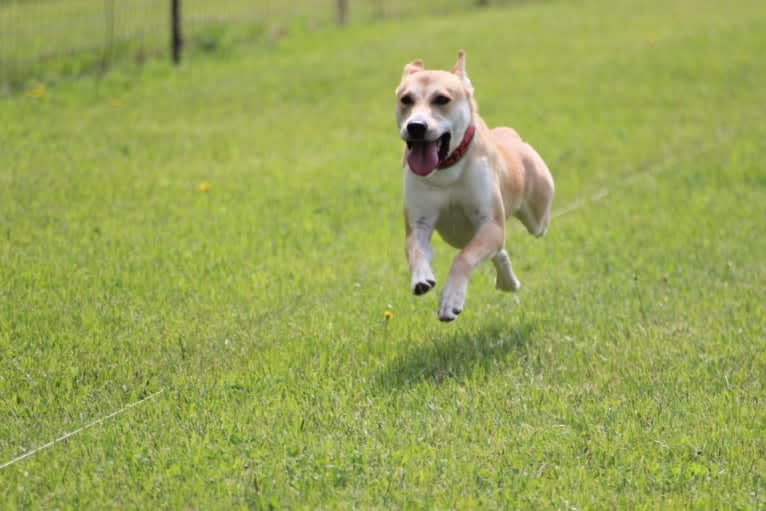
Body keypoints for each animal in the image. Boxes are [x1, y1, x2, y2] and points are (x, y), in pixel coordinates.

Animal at [400, 50, 556, 322]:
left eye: (442, 99)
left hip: (537, 216)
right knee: (498, 251)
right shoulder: (419, 221)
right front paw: (421, 279)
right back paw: (507, 282)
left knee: (529, 229)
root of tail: (509, 135)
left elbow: (463, 258)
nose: (416, 126)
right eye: (405, 99)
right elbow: (415, 248)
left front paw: (450, 301)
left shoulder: (490, 223)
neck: (447, 168)